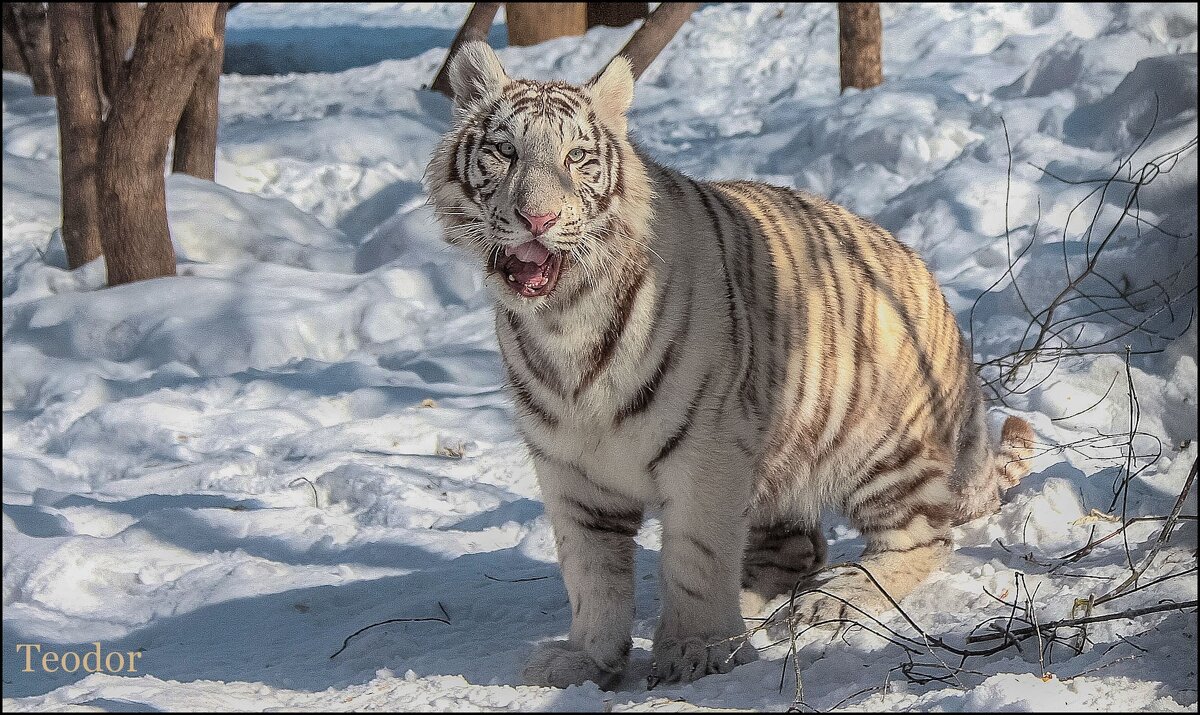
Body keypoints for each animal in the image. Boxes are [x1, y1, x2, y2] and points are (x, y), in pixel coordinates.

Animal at [427, 41, 1036, 691]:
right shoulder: (570, 469)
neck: (564, 321)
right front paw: (586, 659)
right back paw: (752, 608)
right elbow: (590, 575)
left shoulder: (707, 450)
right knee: (796, 550)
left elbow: (694, 556)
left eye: (577, 157)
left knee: (922, 538)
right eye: (504, 151)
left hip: (881, 447)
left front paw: (693, 653)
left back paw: (831, 600)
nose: (537, 220)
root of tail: (937, 295)